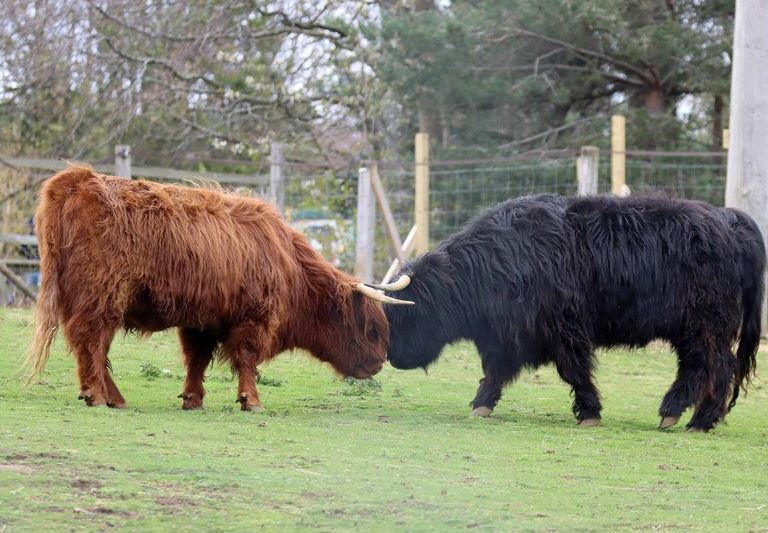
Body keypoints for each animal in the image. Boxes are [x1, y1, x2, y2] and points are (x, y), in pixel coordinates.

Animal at [27, 166, 412, 411]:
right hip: (103, 295)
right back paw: (96, 394)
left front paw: (193, 399)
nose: (380, 362)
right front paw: (251, 401)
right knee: (91, 340)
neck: (291, 266)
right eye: (369, 327)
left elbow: (197, 359)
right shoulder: (254, 317)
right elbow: (246, 357)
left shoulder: (201, 320)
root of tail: (81, 178)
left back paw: (113, 398)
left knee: (91, 344)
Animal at [378, 195, 765, 431]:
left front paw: (590, 413)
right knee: (709, 368)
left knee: (711, 366)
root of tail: (728, 219)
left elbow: (574, 370)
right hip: (696, 329)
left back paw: (683, 416)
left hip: (705, 326)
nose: (392, 357)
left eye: (404, 315)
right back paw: (697, 419)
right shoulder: (508, 336)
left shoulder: (562, 329)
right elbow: (496, 372)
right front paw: (481, 406)